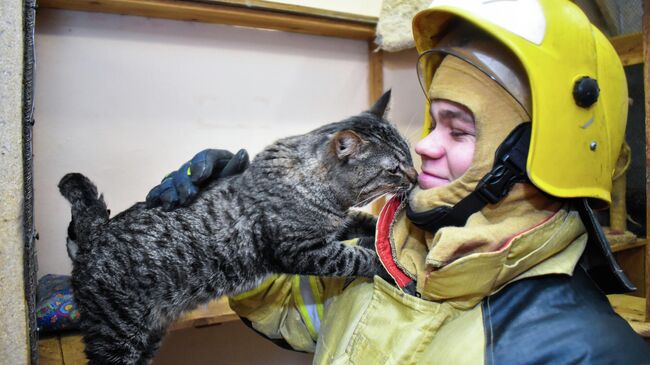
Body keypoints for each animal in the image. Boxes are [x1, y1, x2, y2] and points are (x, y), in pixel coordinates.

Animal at [59, 90, 416, 362]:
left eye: (410, 156)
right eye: (393, 169)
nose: (415, 177)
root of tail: (94, 236)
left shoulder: (336, 225)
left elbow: (364, 221)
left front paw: (383, 233)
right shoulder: (304, 251)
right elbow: (354, 258)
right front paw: (385, 264)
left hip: (148, 336)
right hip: (117, 336)